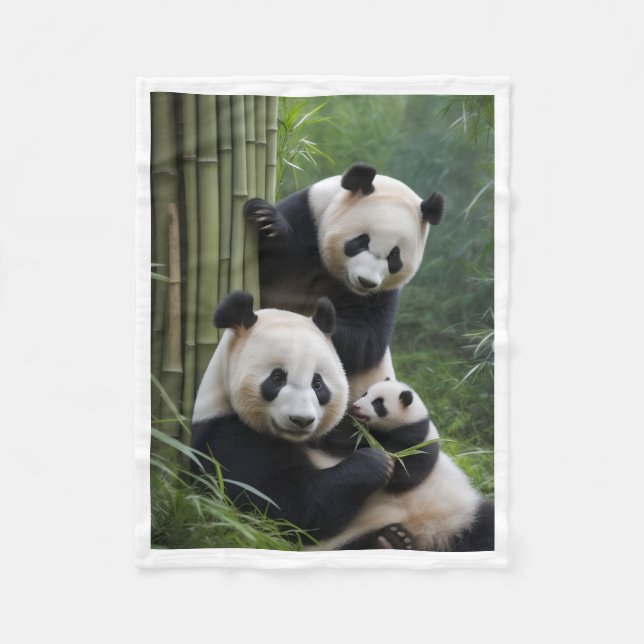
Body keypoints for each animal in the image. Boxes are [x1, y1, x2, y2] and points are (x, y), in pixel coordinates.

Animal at [190, 291, 397, 543]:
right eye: (277, 378)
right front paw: (376, 463)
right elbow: (283, 508)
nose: (301, 420)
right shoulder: (227, 439)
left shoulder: (338, 432)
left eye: (318, 384)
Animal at [244, 163, 445, 403]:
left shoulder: (383, 293)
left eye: (394, 257)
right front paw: (267, 221)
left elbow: (366, 341)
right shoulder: (307, 218)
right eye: (361, 241)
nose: (366, 281)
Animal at [309, 379, 495, 551]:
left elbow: (405, 475)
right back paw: (387, 542)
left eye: (378, 403)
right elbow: (346, 439)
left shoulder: (416, 438)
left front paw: (389, 468)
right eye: (365, 394)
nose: (356, 406)